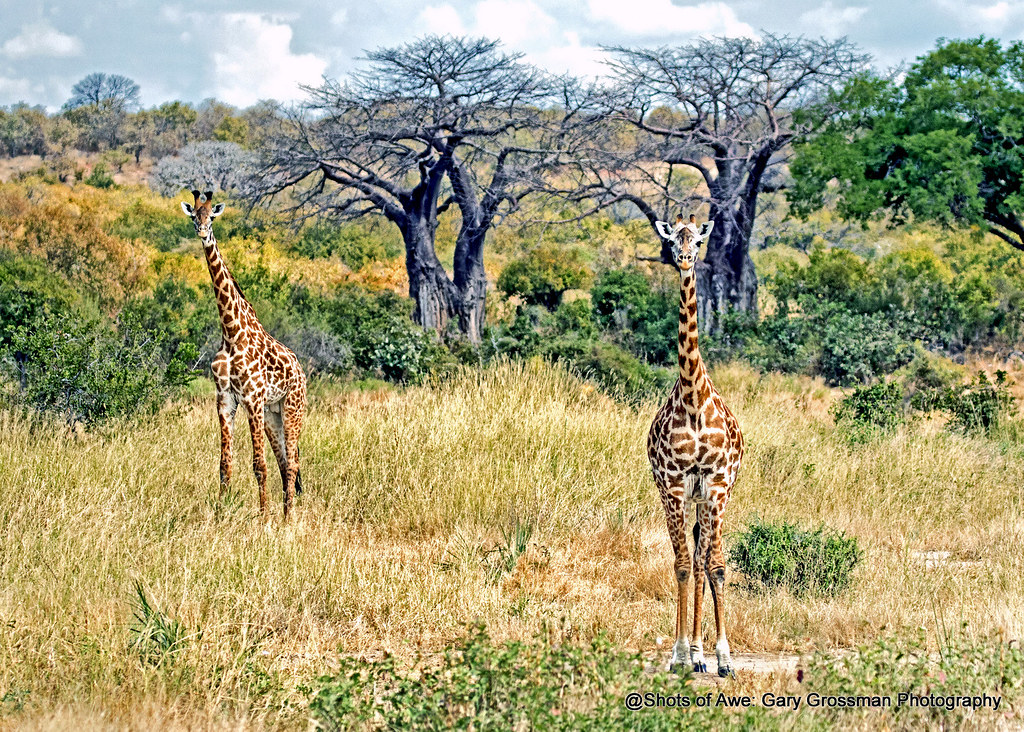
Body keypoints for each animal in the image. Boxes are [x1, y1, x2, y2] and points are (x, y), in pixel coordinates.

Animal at [180, 190, 307, 519]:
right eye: (193, 215)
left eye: (211, 217)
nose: (202, 232)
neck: (230, 332)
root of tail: (302, 371)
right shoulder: (225, 398)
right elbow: (225, 463)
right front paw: (220, 513)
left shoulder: (252, 397)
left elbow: (258, 464)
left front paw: (263, 518)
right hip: (273, 413)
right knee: (285, 463)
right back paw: (285, 514)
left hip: (292, 408)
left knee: (292, 464)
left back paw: (288, 519)